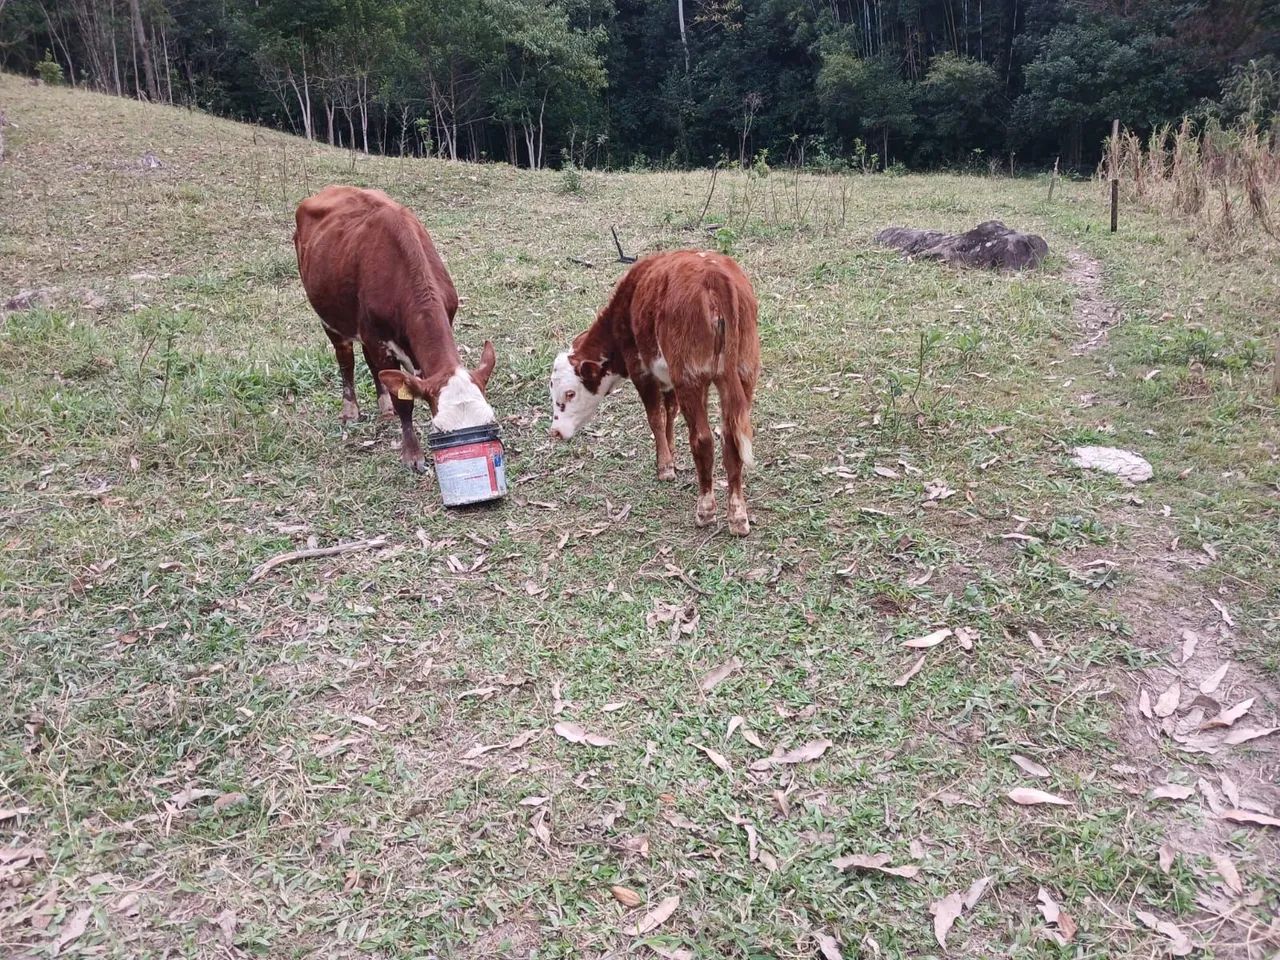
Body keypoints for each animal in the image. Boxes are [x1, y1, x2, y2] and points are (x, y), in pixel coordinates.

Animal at [293, 186, 496, 472]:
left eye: (490, 422)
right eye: (440, 429)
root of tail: (331, 189)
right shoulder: (377, 339)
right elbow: (404, 401)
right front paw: (412, 454)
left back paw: (384, 408)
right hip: (330, 318)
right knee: (346, 359)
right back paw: (350, 411)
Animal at [549, 250, 760, 535]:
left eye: (569, 394)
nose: (556, 432)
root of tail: (715, 276)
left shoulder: (641, 369)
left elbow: (656, 418)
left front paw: (664, 468)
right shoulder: (669, 377)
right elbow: (670, 411)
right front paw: (670, 455)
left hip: (689, 376)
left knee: (703, 439)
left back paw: (705, 510)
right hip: (744, 371)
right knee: (730, 437)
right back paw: (737, 516)